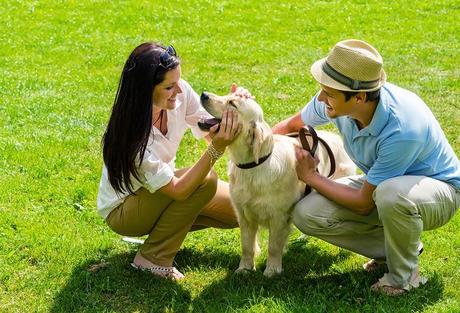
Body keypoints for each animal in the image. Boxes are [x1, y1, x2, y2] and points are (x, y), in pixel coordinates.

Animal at [199, 91, 354, 276]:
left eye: (232, 103)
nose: (203, 94)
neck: (253, 166)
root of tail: (335, 137)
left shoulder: (279, 216)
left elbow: (273, 246)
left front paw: (272, 270)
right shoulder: (243, 215)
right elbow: (246, 246)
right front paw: (244, 268)